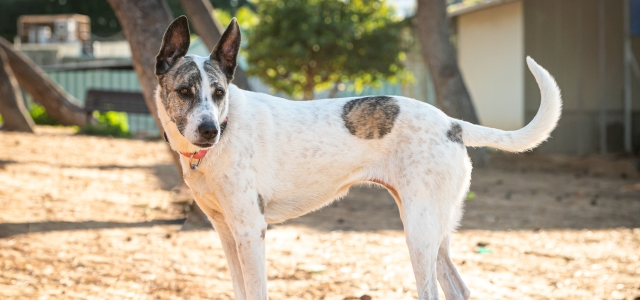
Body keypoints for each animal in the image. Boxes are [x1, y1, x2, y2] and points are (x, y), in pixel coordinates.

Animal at [154, 15, 560, 300]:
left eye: (219, 93)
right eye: (185, 91)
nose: (210, 131)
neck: (225, 129)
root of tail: (452, 123)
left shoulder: (251, 231)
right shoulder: (227, 233)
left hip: (418, 230)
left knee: (431, 290)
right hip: (436, 230)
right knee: (457, 288)